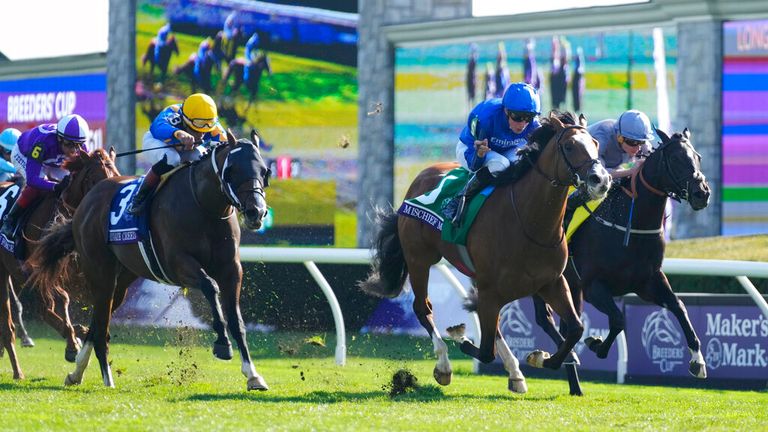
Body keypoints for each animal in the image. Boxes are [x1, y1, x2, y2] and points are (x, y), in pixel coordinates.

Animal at [0, 150, 120, 380]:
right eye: (94, 179)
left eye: (116, 174)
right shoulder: (35, 271)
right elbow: (58, 302)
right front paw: (73, 342)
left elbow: (66, 302)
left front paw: (78, 335)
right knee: (9, 325)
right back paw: (18, 371)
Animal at [31, 130, 274, 390]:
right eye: (232, 171)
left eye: (264, 172)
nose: (256, 212)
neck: (204, 206)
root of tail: (86, 202)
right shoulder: (177, 264)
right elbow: (210, 286)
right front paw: (222, 344)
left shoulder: (231, 269)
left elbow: (237, 321)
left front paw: (253, 375)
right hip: (100, 272)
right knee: (101, 327)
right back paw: (107, 378)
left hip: (121, 282)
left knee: (97, 323)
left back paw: (76, 373)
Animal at [360, 112, 612, 394]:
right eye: (569, 146)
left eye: (595, 143)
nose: (601, 180)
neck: (530, 222)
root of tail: (419, 178)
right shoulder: (491, 289)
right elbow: (484, 351)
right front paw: (460, 336)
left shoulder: (551, 283)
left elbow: (576, 329)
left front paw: (542, 358)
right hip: (419, 259)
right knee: (423, 308)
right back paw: (444, 365)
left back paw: (516, 374)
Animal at [536, 125, 708, 394]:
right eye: (676, 159)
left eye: (698, 157)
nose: (702, 194)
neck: (632, 225)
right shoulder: (594, 286)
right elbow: (617, 320)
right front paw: (596, 345)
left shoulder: (648, 283)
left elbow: (679, 307)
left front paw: (697, 361)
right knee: (544, 319)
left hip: (571, 286)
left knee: (568, 322)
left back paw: (574, 382)